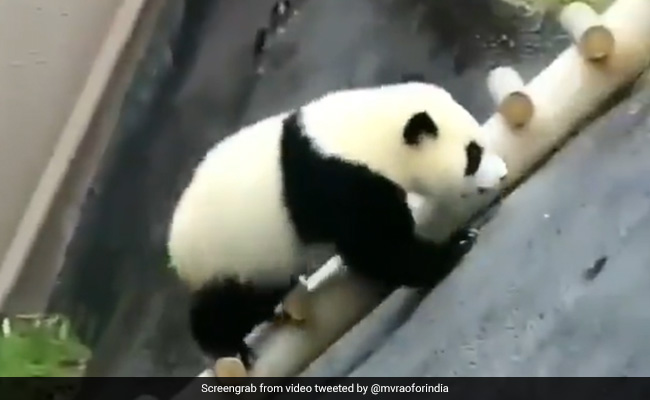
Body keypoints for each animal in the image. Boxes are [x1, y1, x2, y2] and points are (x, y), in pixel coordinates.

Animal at [167, 81, 508, 372]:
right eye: (473, 155)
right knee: (228, 305)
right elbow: (380, 246)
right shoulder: (338, 181)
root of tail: (175, 247)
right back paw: (227, 347)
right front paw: (456, 246)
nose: (502, 174)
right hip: (233, 253)